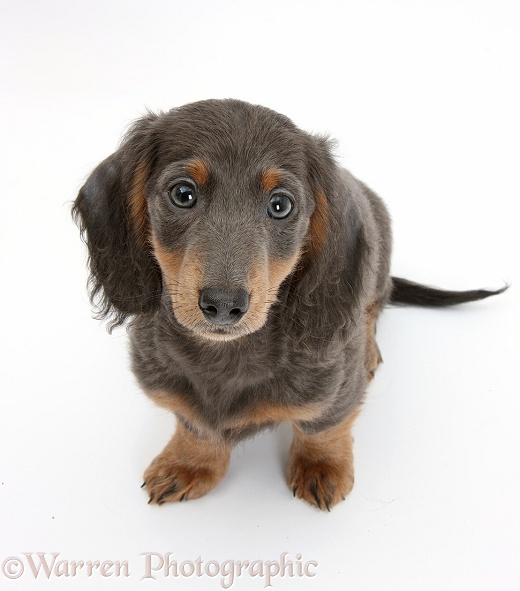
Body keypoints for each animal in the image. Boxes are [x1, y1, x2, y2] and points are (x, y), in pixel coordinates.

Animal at [73, 99, 504, 512]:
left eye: (280, 205)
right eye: (183, 194)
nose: (223, 305)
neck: (227, 354)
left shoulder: (334, 386)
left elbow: (324, 425)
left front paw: (321, 465)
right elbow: (194, 423)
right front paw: (189, 462)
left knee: (370, 311)